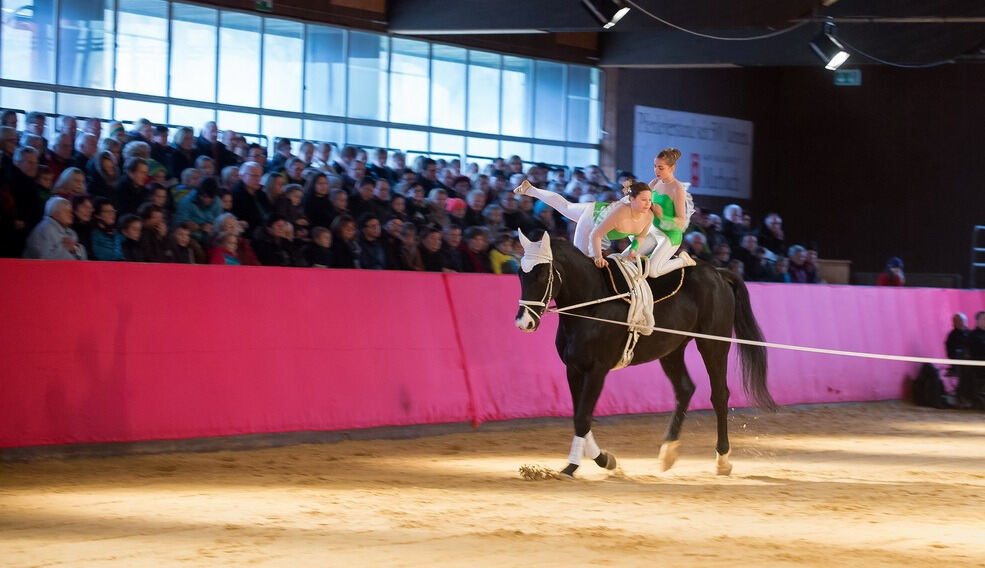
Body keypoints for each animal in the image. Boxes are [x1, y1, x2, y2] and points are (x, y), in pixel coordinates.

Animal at [512, 233, 772, 478]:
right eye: (521, 274)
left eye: (542, 276)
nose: (524, 322)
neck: (592, 304)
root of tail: (717, 273)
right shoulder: (574, 369)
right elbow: (579, 417)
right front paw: (597, 461)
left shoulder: (597, 370)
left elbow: (582, 418)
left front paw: (581, 465)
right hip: (671, 350)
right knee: (685, 389)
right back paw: (668, 453)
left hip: (712, 344)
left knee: (719, 395)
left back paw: (722, 460)